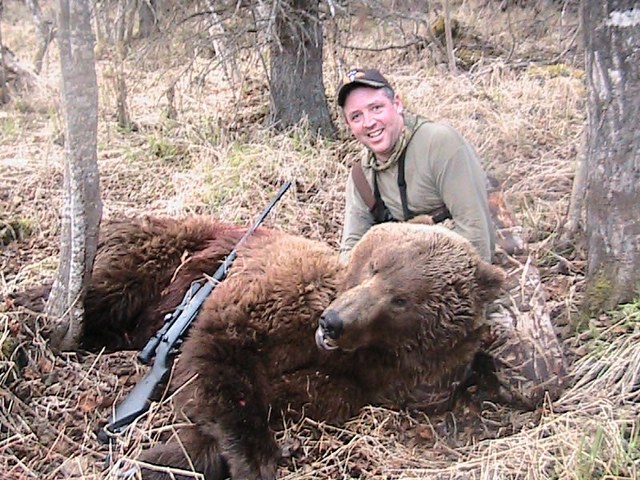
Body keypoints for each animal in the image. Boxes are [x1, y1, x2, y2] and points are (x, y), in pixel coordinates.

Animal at [87, 220, 504, 480]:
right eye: (374, 266)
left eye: (402, 300)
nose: (333, 321)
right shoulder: (281, 290)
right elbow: (218, 357)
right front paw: (255, 460)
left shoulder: (347, 386)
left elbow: (279, 398)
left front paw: (159, 459)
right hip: (163, 253)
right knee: (109, 287)